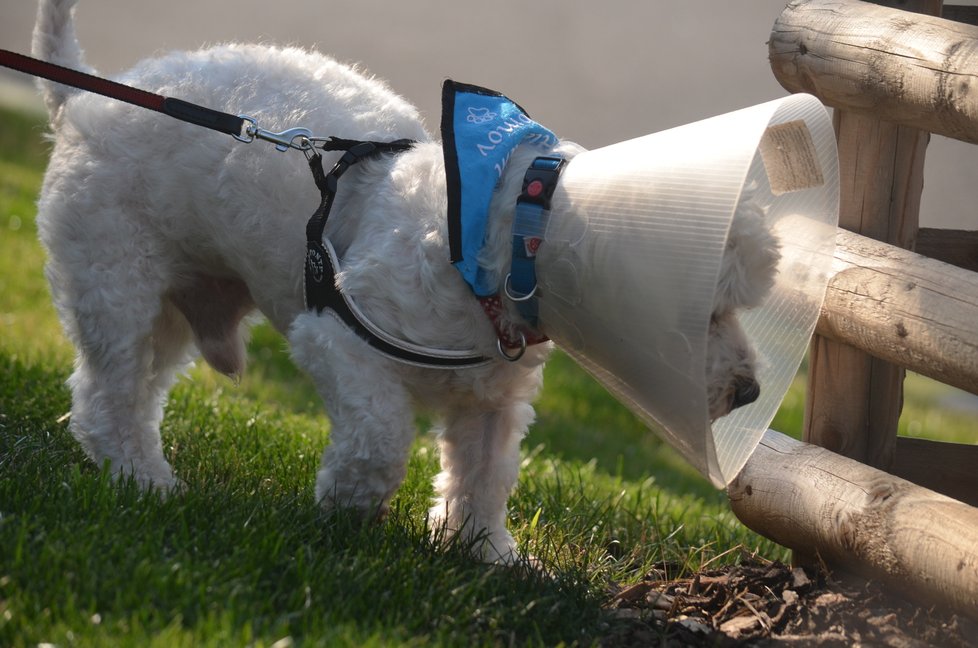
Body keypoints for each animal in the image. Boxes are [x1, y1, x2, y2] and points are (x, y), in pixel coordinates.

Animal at [32, 0, 776, 560]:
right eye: (706, 312)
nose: (750, 392)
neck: (490, 246)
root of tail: (82, 97)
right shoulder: (337, 339)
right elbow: (383, 437)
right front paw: (348, 502)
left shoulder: (492, 402)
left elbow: (483, 477)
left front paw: (483, 551)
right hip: (116, 285)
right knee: (108, 398)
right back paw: (142, 478)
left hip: (171, 310)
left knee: (127, 393)